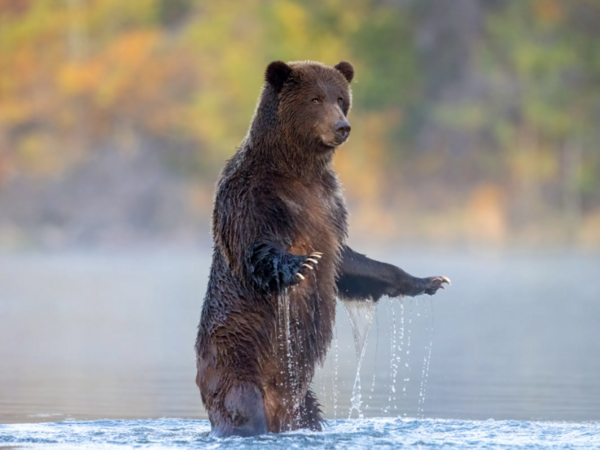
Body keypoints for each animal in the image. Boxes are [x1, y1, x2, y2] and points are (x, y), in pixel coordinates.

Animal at [195, 59, 448, 436]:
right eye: (315, 99)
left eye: (340, 98)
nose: (342, 127)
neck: (296, 169)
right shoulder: (251, 196)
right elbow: (254, 248)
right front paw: (300, 264)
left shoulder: (329, 207)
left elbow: (350, 264)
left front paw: (429, 281)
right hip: (236, 362)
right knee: (241, 407)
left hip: (303, 401)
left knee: (310, 414)